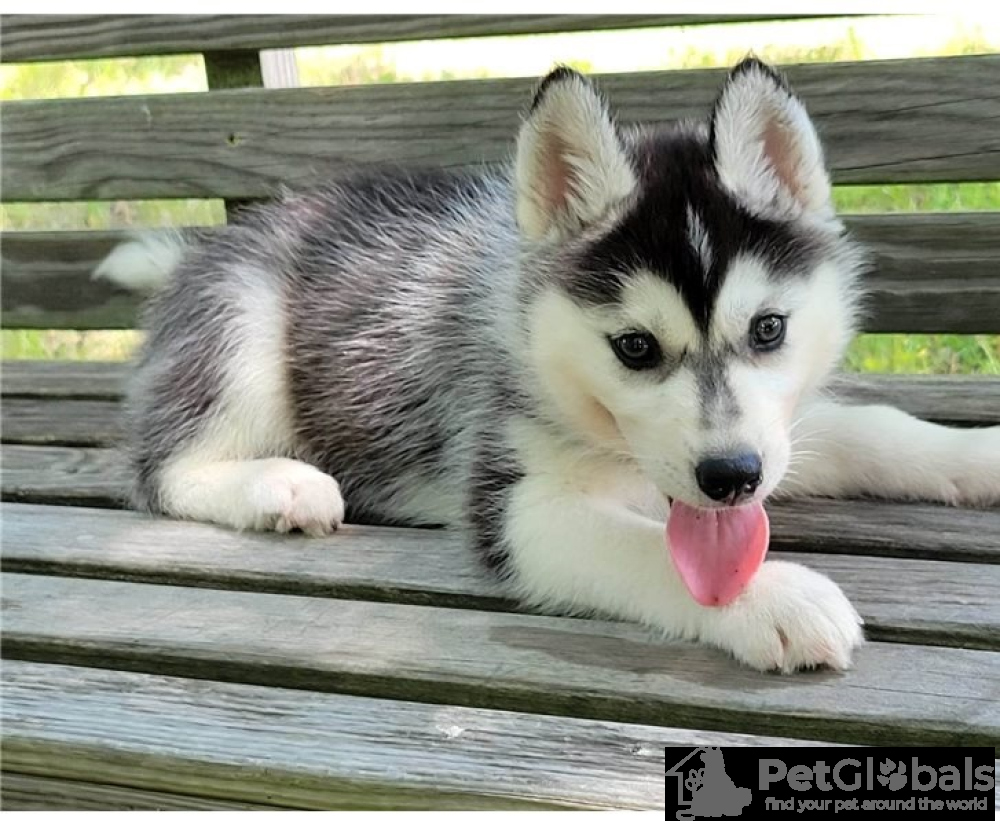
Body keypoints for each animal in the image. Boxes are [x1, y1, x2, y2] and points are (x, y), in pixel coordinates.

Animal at [97, 58, 1000, 673]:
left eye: (769, 328)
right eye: (634, 347)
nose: (729, 477)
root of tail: (209, 245)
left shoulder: (775, 434)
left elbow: (872, 428)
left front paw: (976, 453)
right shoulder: (514, 501)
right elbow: (647, 550)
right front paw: (772, 594)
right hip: (242, 326)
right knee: (163, 469)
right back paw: (278, 486)